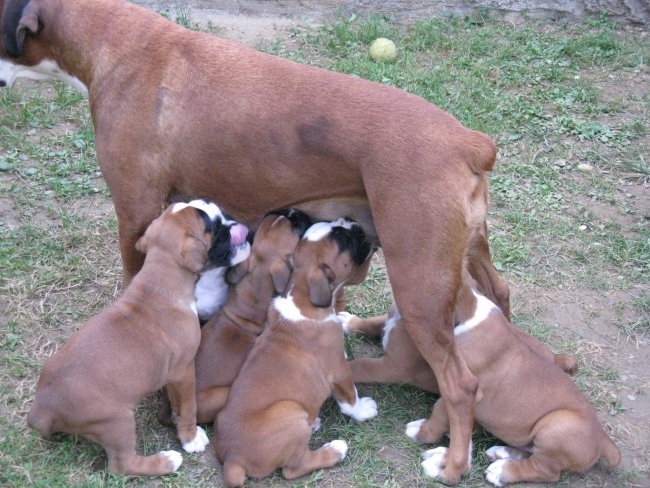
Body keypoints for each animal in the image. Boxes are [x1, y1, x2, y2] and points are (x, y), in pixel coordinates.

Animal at [25, 199, 246, 476]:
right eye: (211, 226)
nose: (213, 205)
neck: (161, 279)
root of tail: (43, 407)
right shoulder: (183, 371)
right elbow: (187, 407)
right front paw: (191, 439)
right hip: (117, 422)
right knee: (122, 464)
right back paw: (167, 461)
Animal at [216, 219, 378, 486]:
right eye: (343, 239)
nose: (350, 221)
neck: (302, 297)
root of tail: (233, 458)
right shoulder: (339, 371)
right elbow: (350, 398)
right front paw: (363, 410)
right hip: (291, 413)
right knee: (294, 468)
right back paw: (335, 449)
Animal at [344, 270, 616, 484]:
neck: (468, 312)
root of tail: (603, 440)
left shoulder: (403, 369)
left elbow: (361, 367)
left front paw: (422, 432)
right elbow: (376, 322)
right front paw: (351, 322)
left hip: (556, 426)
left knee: (546, 471)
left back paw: (500, 471)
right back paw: (498, 454)